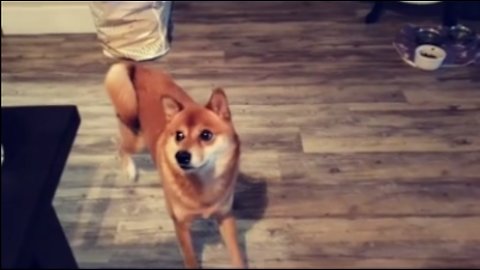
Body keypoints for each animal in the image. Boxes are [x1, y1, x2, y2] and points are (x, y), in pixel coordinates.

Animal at [105, 62, 248, 268]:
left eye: (206, 135)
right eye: (179, 135)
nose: (181, 156)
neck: (202, 184)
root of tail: (137, 67)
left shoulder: (225, 216)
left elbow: (236, 256)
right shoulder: (180, 225)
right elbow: (190, 259)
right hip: (137, 140)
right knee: (120, 148)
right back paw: (130, 170)